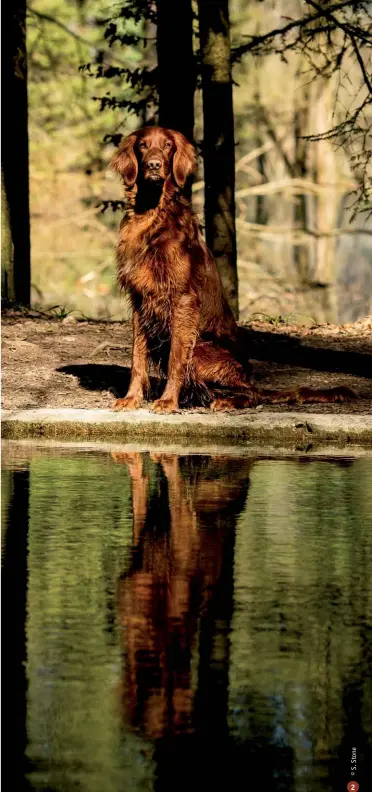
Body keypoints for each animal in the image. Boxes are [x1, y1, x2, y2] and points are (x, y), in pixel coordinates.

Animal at [111, 126, 354, 412]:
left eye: (168, 145)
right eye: (143, 145)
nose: (153, 165)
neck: (152, 216)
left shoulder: (182, 299)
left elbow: (175, 359)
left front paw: (168, 401)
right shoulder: (141, 299)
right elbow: (137, 357)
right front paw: (132, 398)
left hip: (203, 350)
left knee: (250, 393)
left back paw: (223, 400)